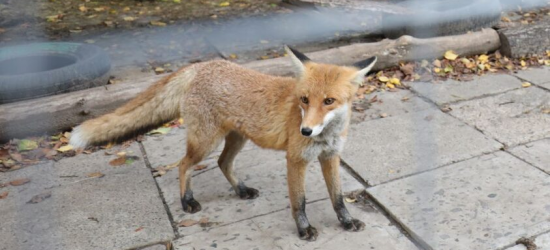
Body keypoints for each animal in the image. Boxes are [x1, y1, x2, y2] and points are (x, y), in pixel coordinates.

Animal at [71, 46, 378, 240]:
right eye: (304, 99)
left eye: (329, 101)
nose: (305, 131)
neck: (326, 135)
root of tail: (201, 66)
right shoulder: (296, 159)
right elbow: (299, 202)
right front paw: (304, 230)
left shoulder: (330, 156)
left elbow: (338, 198)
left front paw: (347, 222)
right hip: (205, 142)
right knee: (183, 165)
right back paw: (187, 201)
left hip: (236, 139)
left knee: (222, 163)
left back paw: (240, 190)